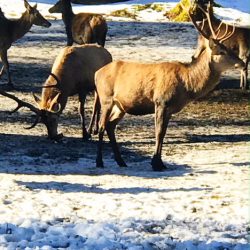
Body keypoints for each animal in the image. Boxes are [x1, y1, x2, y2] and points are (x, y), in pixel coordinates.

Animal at [93, 5, 244, 171]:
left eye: (230, 48)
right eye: (221, 51)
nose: (243, 63)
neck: (186, 85)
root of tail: (97, 73)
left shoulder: (170, 108)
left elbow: (164, 132)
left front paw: (159, 162)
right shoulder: (161, 101)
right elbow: (159, 132)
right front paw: (156, 163)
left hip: (121, 105)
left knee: (110, 125)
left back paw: (121, 161)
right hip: (106, 98)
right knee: (102, 126)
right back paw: (99, 162)